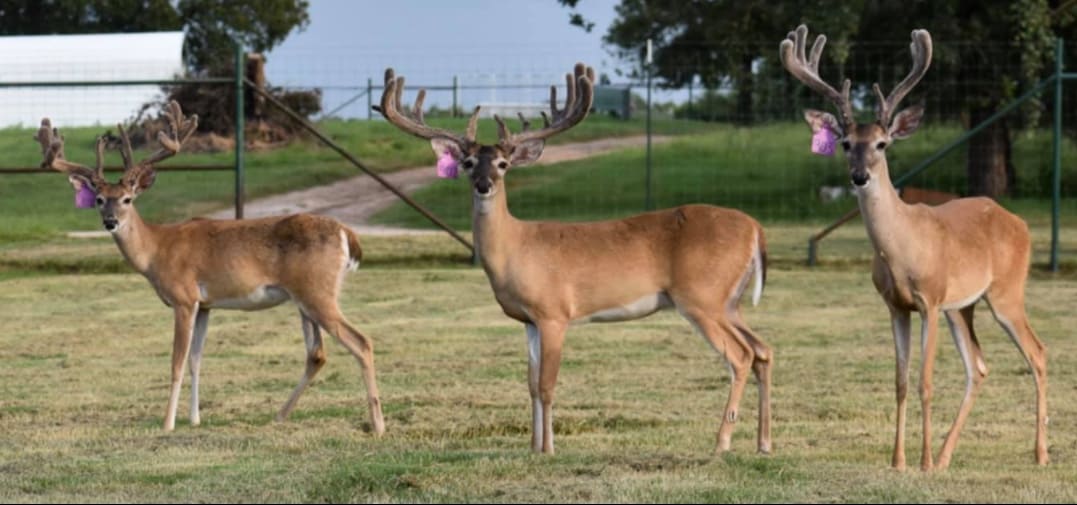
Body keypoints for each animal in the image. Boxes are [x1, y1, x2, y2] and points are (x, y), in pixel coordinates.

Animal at [35, 101, 385, 435]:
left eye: (127, 199)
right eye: (98, 199)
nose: (110, 222)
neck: (156, 250)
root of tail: (347, 233)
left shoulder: (183, 297)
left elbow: (176, 362)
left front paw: (167, 423)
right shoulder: (205, 304)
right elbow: (196, 360)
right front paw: (194, 419)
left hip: (317, 291)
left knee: (361, 342)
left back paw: (378, 424)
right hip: (304, 299)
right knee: (317, 353)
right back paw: (279, 416)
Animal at [375, 64, 771, 455]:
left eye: (502, 163)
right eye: (469, 161)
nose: (483, 185)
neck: (514, 249)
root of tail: (755, 228)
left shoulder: (554, 312)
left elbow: (547, 384)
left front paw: (549, 449)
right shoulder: (528, 320)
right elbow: (530, 384)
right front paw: (533, 447)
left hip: (702, 297)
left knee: (740, 356)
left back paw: (722, 443)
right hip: (729, 302)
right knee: (763, 350)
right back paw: (763, 443)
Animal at [780, 25, 1047, 470]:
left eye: (883, 144)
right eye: (846, 143)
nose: (858, 177)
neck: (901, 250)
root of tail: (1019, 222)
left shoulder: (931, 301)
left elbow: (925, 381)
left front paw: (919, 462)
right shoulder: (895, 305)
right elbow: (901, 382)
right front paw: (899, 460)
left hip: (1006, 290)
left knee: (1037, 353)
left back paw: (1039, 452)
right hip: (964, 306)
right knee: (979, 366)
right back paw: (945, 456)